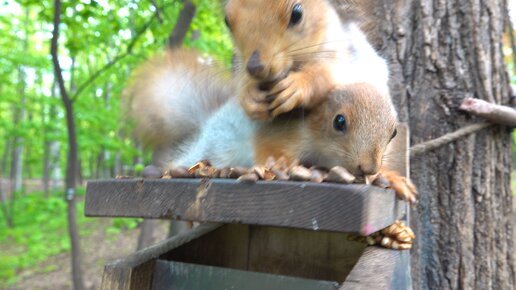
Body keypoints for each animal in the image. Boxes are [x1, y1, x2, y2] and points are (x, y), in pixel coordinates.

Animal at [224, 0, 390, 120]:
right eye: (227, 21)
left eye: (297, 13)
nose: (255, 67)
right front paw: (249, 95)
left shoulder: (346, 56)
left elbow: (327, 74)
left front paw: (298, 85)